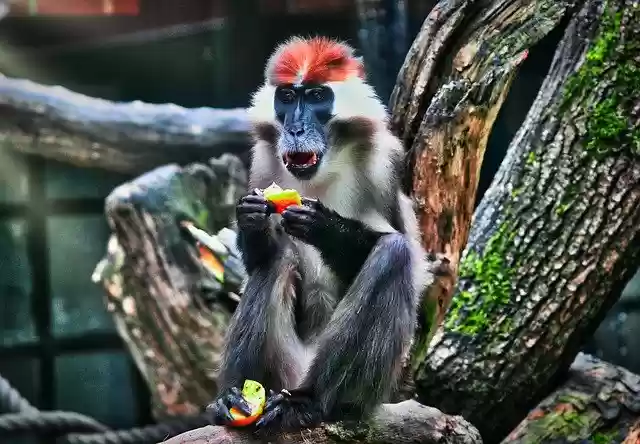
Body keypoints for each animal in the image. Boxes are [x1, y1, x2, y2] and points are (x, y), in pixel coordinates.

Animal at [206, 36, 428, 434]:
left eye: (316, 96)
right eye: (287, 97)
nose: (295, 129)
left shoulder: (385, 163)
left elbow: (409, 258)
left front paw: (326, 227)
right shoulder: (263, 161)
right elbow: (258, 257)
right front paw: (250, 218)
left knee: (394, 253)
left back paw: (310, 403)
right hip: (286, 367)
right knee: (277, 261)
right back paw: (233, 398)